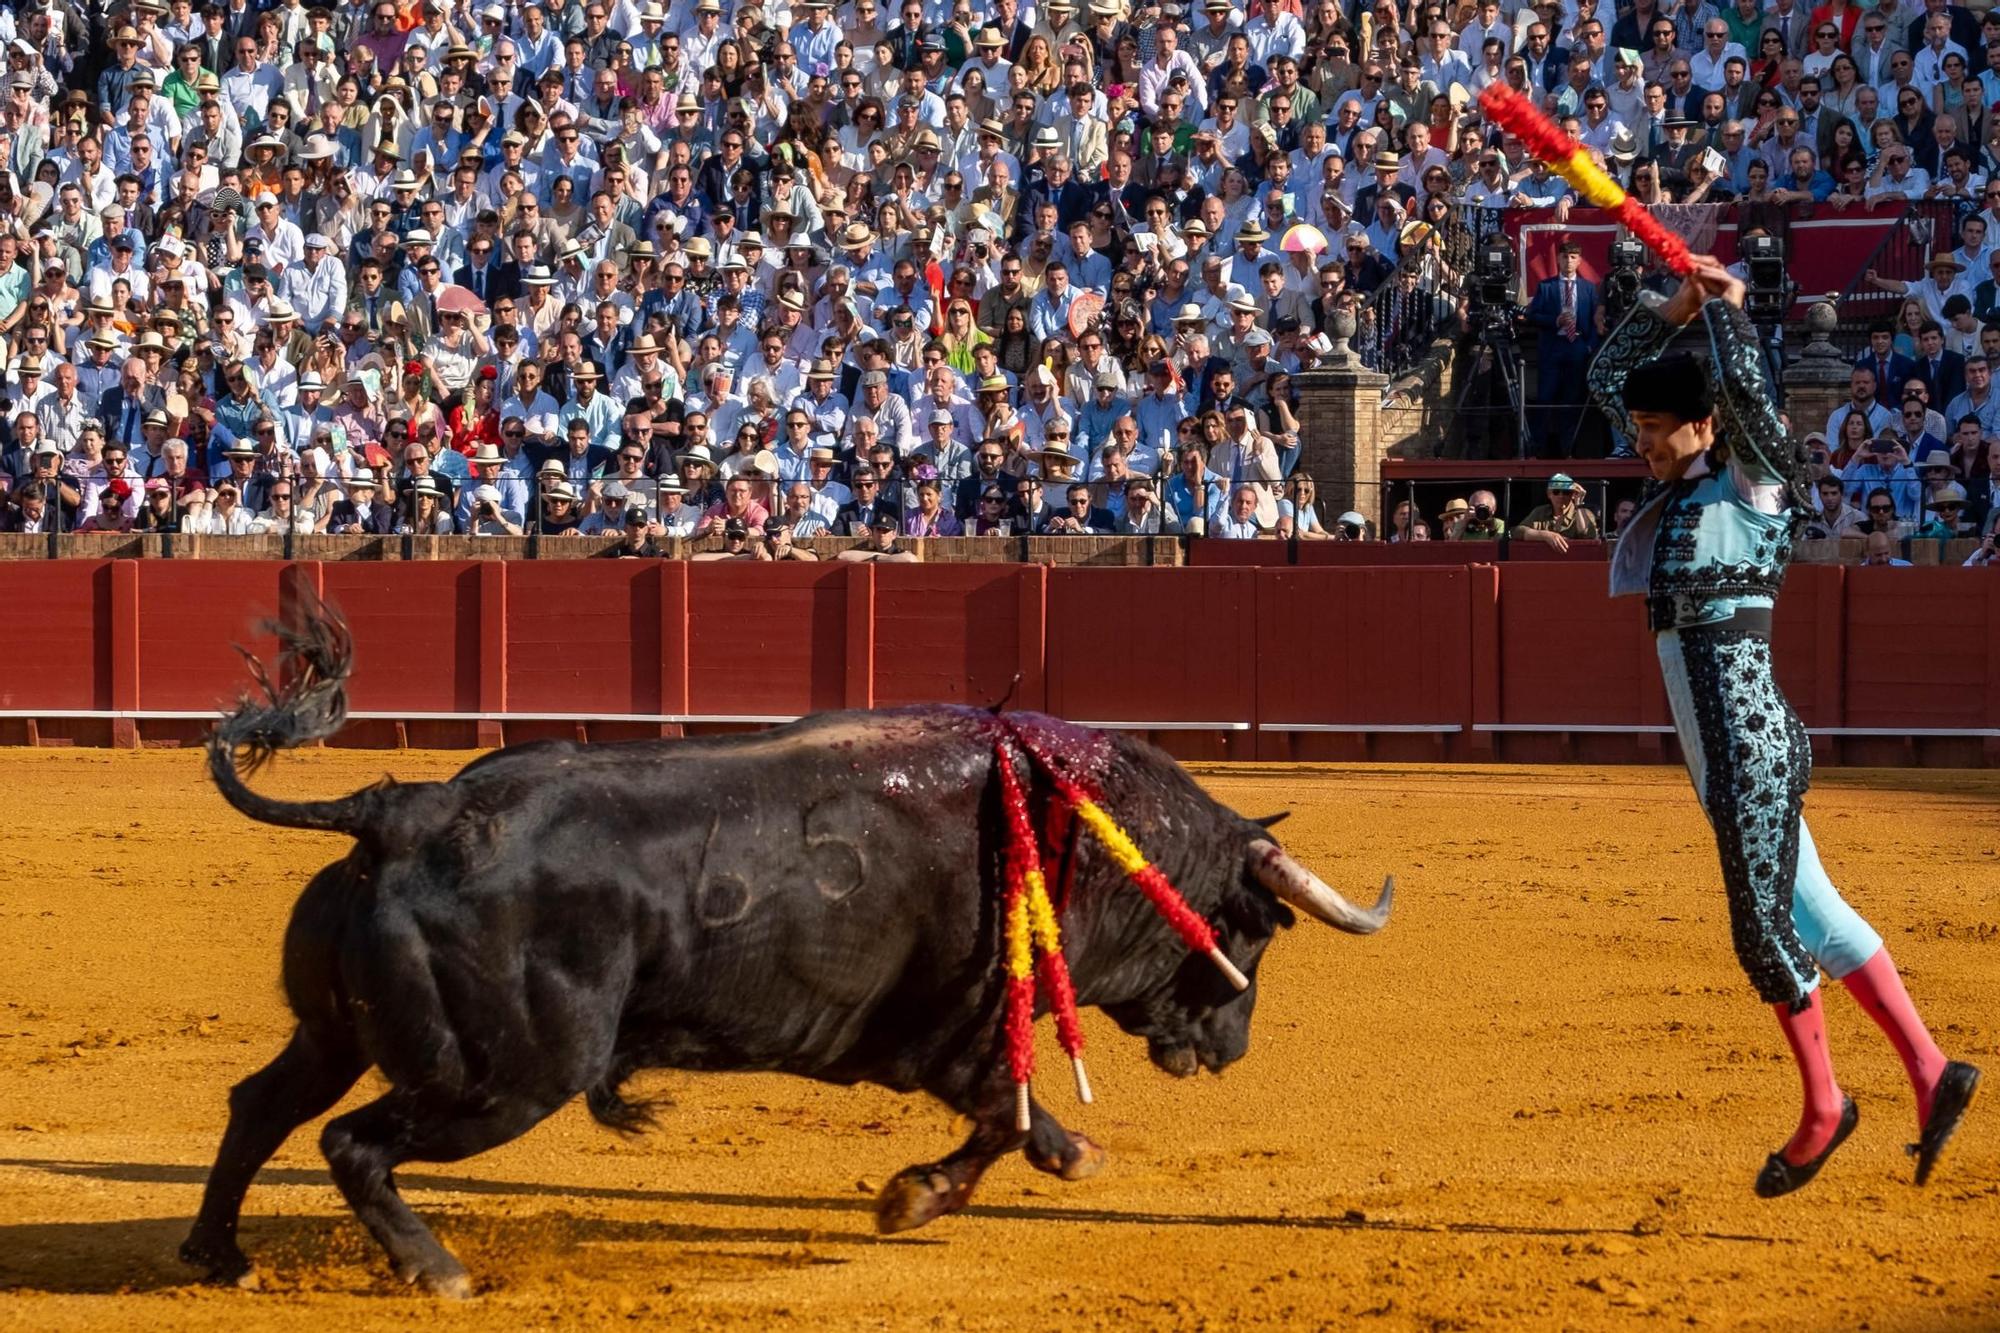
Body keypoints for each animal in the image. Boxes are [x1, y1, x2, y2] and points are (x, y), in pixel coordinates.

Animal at [184, 600, 1392, 1288]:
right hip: (506, 1073)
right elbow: (1006, 1117)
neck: (1071, 822)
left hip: (339, 1030)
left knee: (263, 1103)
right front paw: (928, 1193)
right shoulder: (945, 1037)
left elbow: (1007, 1116)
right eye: (1254, 927)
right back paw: (437, 1269)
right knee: (352, 1142)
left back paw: (218, 1253)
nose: (1231, 1045)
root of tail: (397, 810)